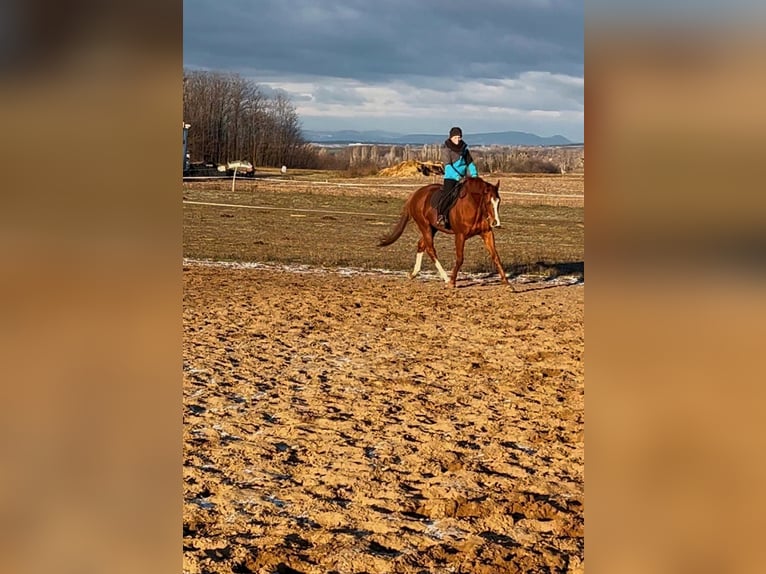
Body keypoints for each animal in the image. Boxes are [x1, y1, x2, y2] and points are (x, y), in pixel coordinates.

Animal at [378, 177, 510, 288]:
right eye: (488, 202)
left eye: (498, 201)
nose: (495, 222)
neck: (473, 206)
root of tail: (416, 194)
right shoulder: (460, 236)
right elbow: (460, 258)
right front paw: (452, 282)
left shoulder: (487, 233)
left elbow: (495, 256)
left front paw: (506, 282)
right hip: (425, 226)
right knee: (430, 249)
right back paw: (446, 278)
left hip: (432, 228)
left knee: (421, 245)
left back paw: (413, 274)